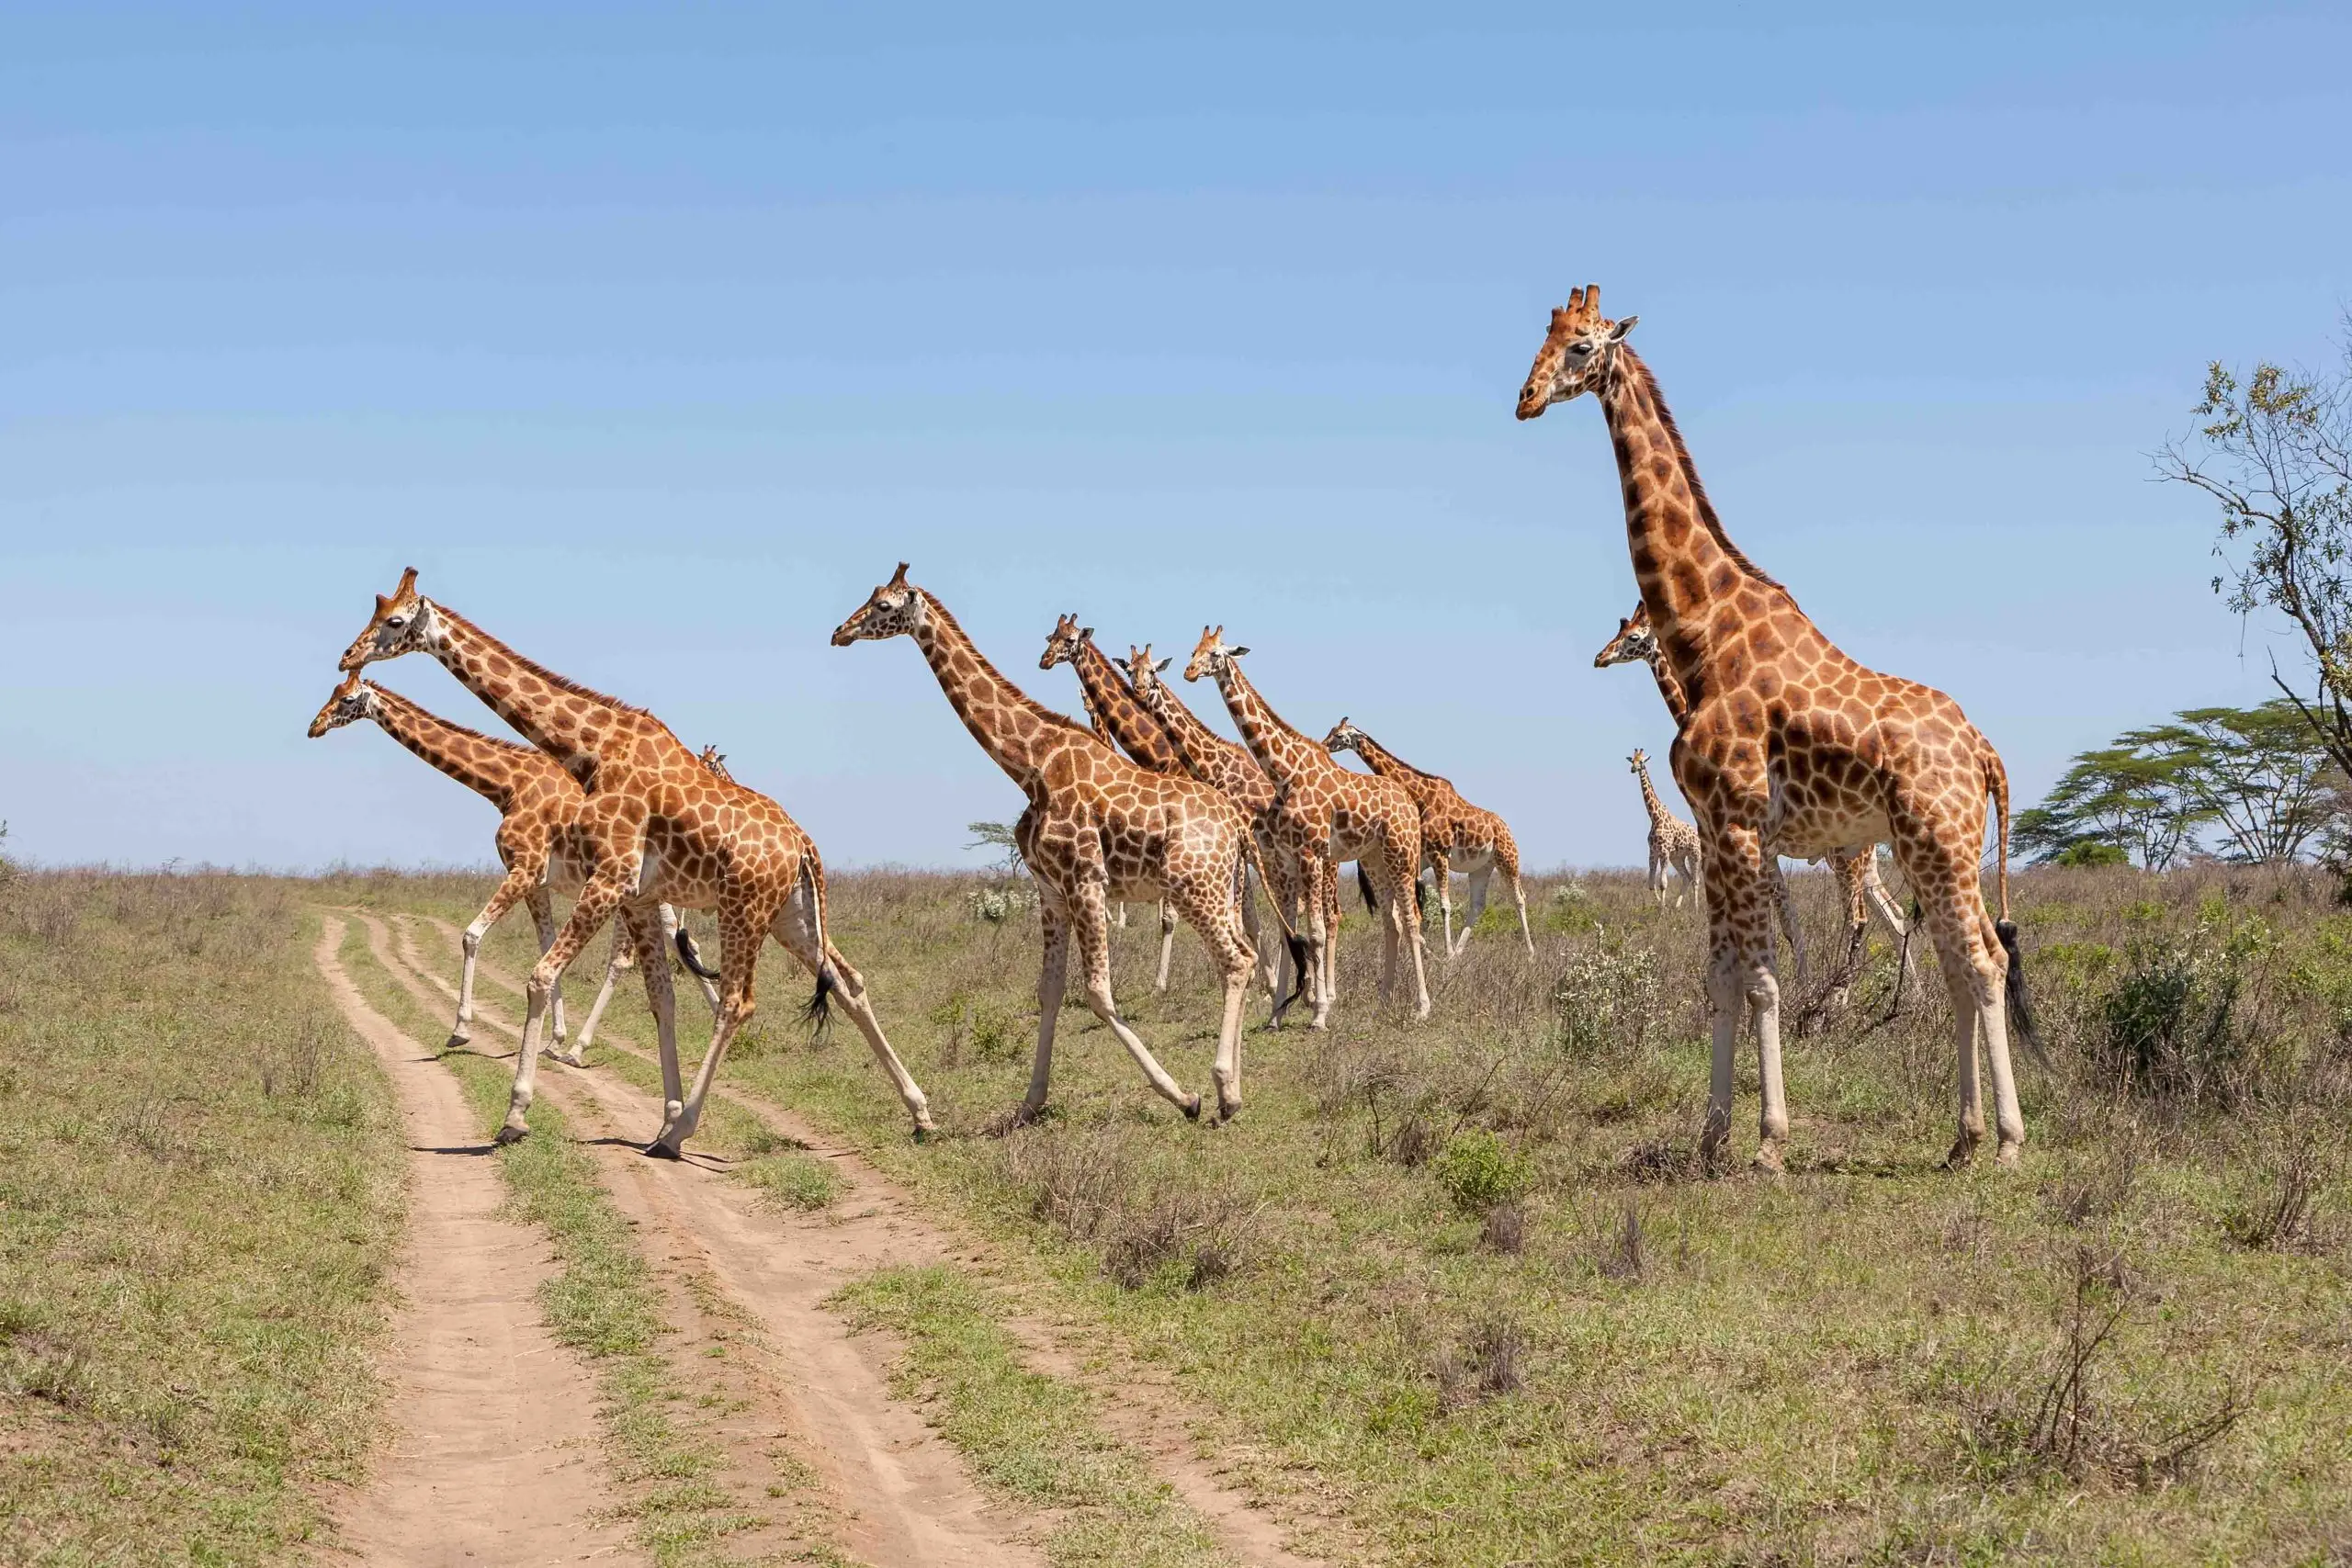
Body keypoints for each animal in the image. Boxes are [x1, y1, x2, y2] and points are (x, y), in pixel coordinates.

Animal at [305, 670, 720, 1062]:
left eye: (347, 699)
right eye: (331, 692)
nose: (314, 726)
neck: (505, 784)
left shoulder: (525, 869)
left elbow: (472, 935)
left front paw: (461, 1030)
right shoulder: (537, 883)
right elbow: (546, 944)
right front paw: (555, 1038)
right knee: (682, 941)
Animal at [1184, 627, 1431, 1025]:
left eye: (1216, 653)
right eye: (1194, 650)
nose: (1189, 672)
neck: (1284, 772)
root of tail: (1409, 802)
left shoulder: (1311, 854)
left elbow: (1315, 933)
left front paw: (1320, 1013)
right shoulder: (1286, 858)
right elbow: (1290, 933)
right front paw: (1276, 1016)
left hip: (1402, 854)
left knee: (1411, 920)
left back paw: (1422, 1006)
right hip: (1375, 859)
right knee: (1391, 922)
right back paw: (1384, 1000)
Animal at [1320, 719, 1534, 958]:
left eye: (1339, 735)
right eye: (1331, 731)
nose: (1323, 745)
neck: (1422, 797)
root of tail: (1505, 827)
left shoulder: (1440, 854)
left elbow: (1444, 905)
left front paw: (1445, 953)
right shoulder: (1423, 858)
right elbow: (1407, 906)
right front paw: (1432, 951)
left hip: (1507, 858)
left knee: (1519, 898)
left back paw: (1530, 953)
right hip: (1481, 867)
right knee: (1478, 905)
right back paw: (1459, 953)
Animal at [1596, 603, 1917, 984]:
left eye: (1632, 637)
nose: (1600, 657)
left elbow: (1782, 925)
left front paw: (1800, 986)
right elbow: (1786, 924)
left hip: (1846, 858)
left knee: (1859, 918)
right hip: (1864, 863)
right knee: (1895, 916)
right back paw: (1912, 990)